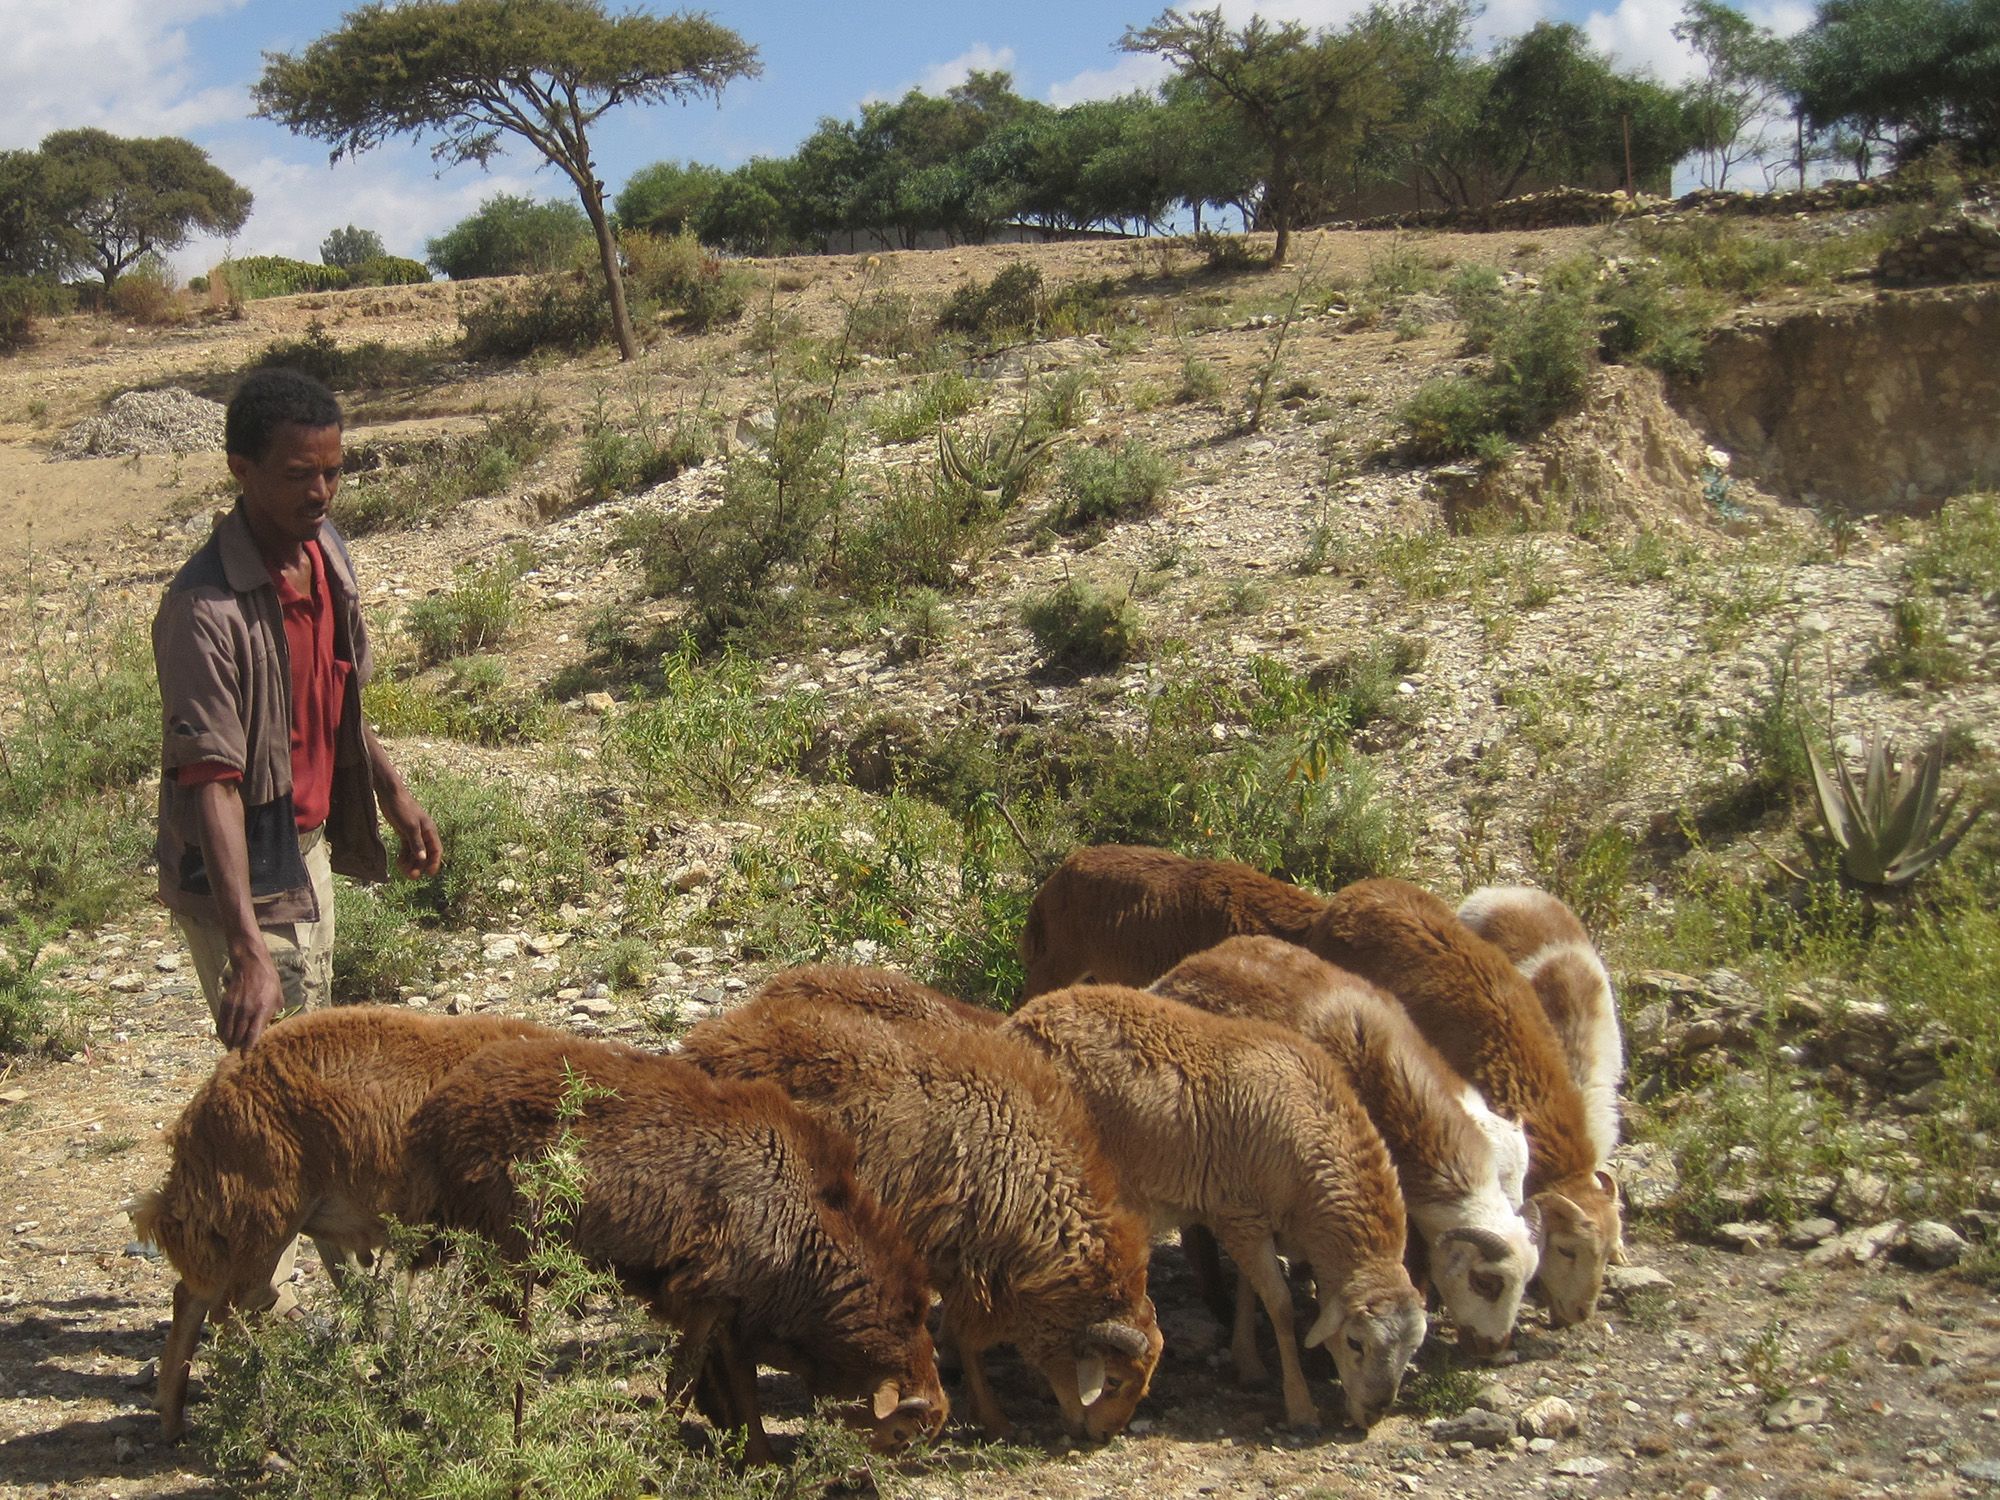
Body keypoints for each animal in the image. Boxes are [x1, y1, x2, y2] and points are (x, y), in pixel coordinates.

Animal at [128, 1007, 561, 1440]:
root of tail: (204, 1108)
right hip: (262, 1219)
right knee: (226, 1314)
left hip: (239, 1225)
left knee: (193, 1296)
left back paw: (173, 1418)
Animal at [399, 1034, 945, 1461]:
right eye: (899, 1433)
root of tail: (434, 1111)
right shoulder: (711, 1295)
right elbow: (684, 1382)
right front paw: (663, 1445)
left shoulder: (735, 1309)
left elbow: (739, 1387)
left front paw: (758, 1458)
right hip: (506, 1247)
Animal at [680, 998, 1161, 1443]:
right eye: (1113, 1380)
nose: (1104, 1436)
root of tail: (707, 1043)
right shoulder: (959, 1256)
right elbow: (968, 1340)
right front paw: (994, 1419)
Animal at [1005, 983, 1426, 1431]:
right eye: (1355, 1342)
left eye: (1412, 1350)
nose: (1375, 1412)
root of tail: (1021, 1019)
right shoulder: (1243, 1214)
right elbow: (1280, 1306)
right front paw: (1300, 1405)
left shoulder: (1244, 1218)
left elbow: (1248, 1290)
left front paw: (1249, 1363)